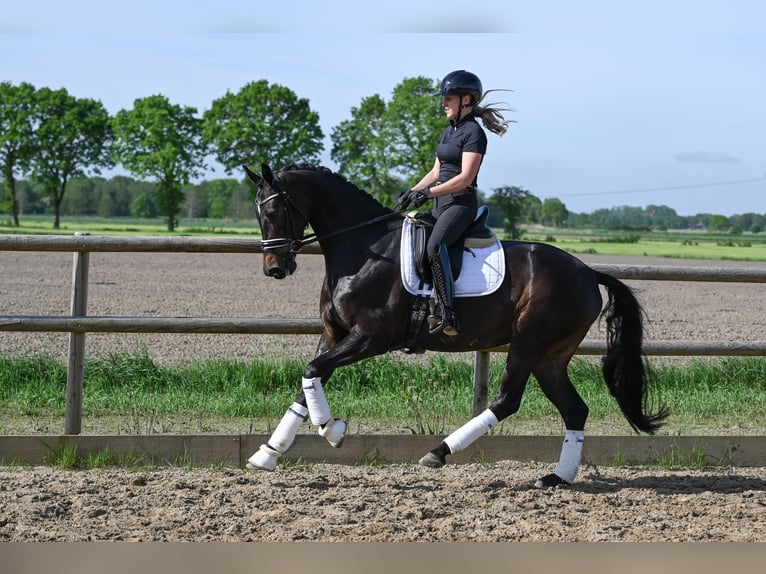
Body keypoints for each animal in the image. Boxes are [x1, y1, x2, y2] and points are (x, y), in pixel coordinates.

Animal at [243, 162, 668, 488]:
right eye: (258, 214)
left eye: (275, 212)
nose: (275, 269)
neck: (364, 249)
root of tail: (587, 272)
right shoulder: (333, 334)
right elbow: (308, 379)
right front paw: (269, 453)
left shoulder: (371, 338)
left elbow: (313, 371)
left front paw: (332, 430)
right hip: (550, 357)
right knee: (574, 409)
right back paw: (556, 478)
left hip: (528, 343)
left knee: (507, 400)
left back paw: (438, 452)